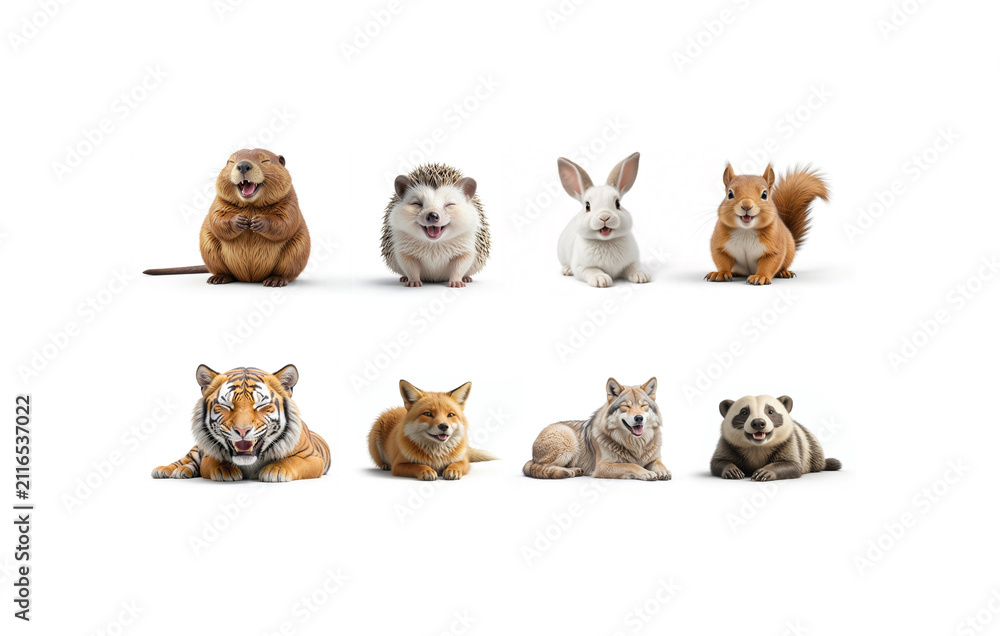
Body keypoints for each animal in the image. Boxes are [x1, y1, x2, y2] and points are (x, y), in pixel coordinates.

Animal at [152, 364, 330, 482]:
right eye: (226, 405)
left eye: (261, 405)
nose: (242, 430)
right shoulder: (209, 455)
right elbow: (214, 461)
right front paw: (225, 470)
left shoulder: (312, 458)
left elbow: (291, 460)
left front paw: (276, 469)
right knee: (185, 460)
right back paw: (167, 470)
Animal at [368, 380, 498, 480]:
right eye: (428, 414)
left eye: (451, 415)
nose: (444, 426)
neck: (437, 455)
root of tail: (394, 409)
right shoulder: (398, 465)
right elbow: (417, 466)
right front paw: (426, 470)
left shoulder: (464, 461)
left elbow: (457, 464)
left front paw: (452, 470)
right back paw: (385, 465)